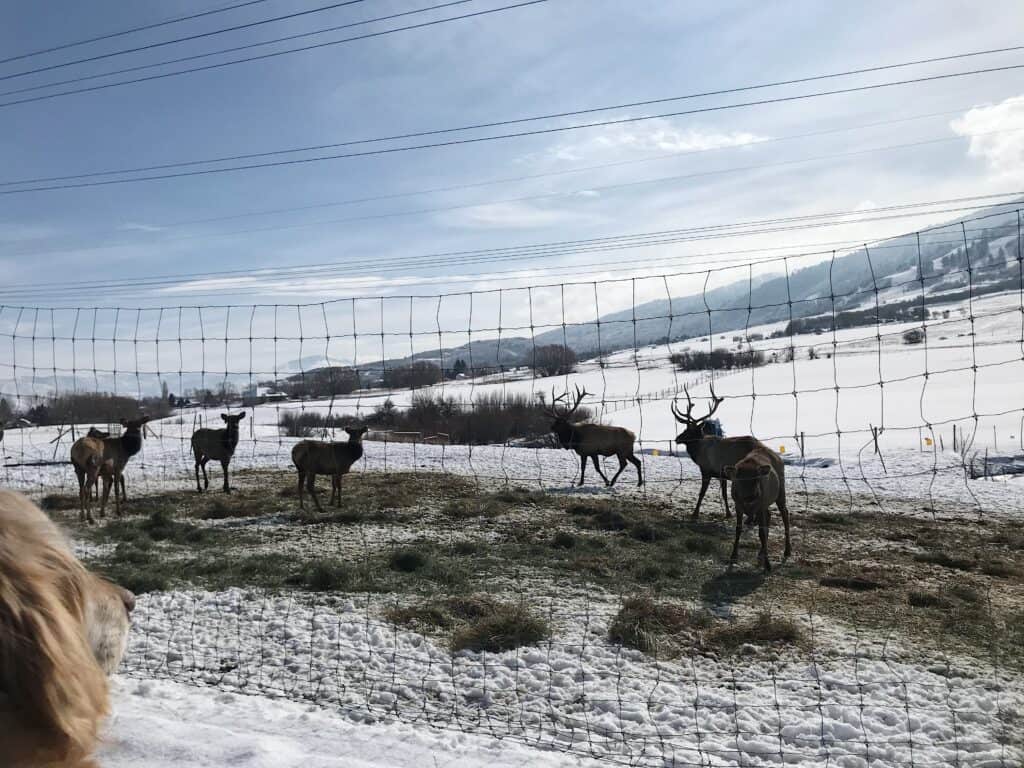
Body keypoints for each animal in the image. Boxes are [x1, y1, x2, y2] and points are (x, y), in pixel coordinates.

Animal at [671, 385, 782, 524]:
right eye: (685, 429)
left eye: (689, 431)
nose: (677, 438)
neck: (699, 450)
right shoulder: (721, 474)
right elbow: (723, 493)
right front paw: (728, 514)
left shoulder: (706, 470)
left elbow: (702, 493)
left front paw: (694, 514)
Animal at [720, 444, 790, 573]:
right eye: (739, 480)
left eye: (757, 479)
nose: (752, 496)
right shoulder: (738, 505)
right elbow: (738, 530)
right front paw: (733, 556)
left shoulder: (760, 506)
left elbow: (761, 533)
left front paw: (768, 564)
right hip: (765, 503)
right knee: (769, 514)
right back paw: (762, 552)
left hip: (780, 492)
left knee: (785, 514)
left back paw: (787, 550)